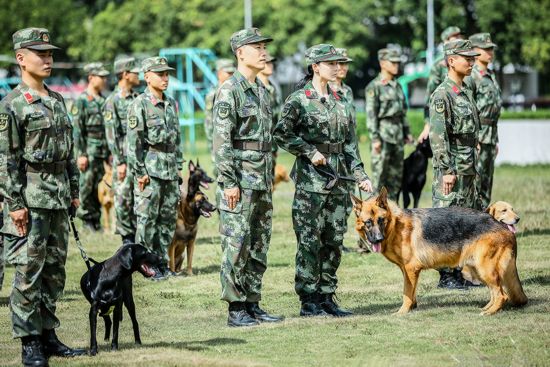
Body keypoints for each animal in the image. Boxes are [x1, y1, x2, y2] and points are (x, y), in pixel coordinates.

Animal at [354, 190, 532, 316]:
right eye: (368, 223)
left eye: (381, 220)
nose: (378, 239)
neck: (395, 225)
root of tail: (503, 227)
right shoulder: (408, 271)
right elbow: (411, 292)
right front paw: (412, 307)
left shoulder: (411, 269)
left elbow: (406, 293)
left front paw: (402, 312)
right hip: (477, 269)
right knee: (496, 292)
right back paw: (488, 307)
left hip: (484, 269)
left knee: (502, 295)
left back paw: (489, 312)